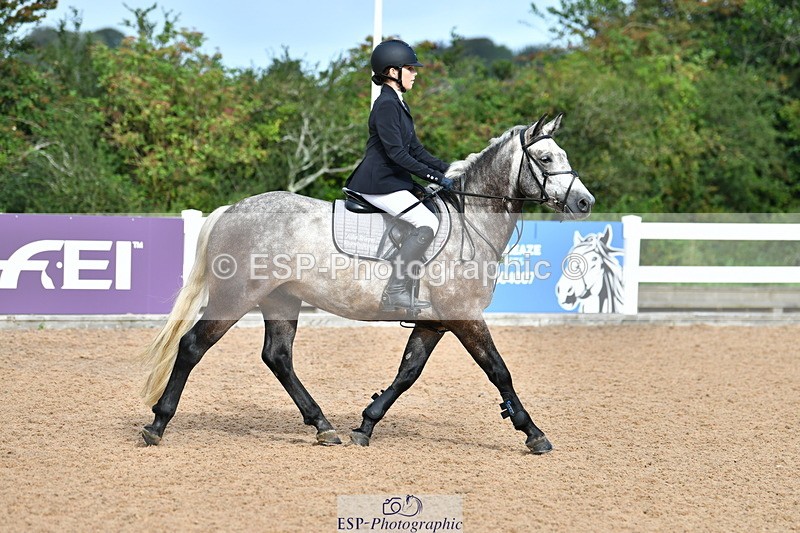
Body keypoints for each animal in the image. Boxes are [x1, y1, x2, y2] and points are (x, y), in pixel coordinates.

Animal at [139, 113, 595, 454]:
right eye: (547, 159)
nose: (585, 203)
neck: (472, 222)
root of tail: (232, 210)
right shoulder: (464, 315)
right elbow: (499, 371)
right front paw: (533, 432)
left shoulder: (434, 321)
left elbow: (408, 372)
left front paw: (366, 425)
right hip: (235, 298)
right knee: (193, 346)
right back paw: (158, 424)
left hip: (281, 300)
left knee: (278, 357)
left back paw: (323, 425)